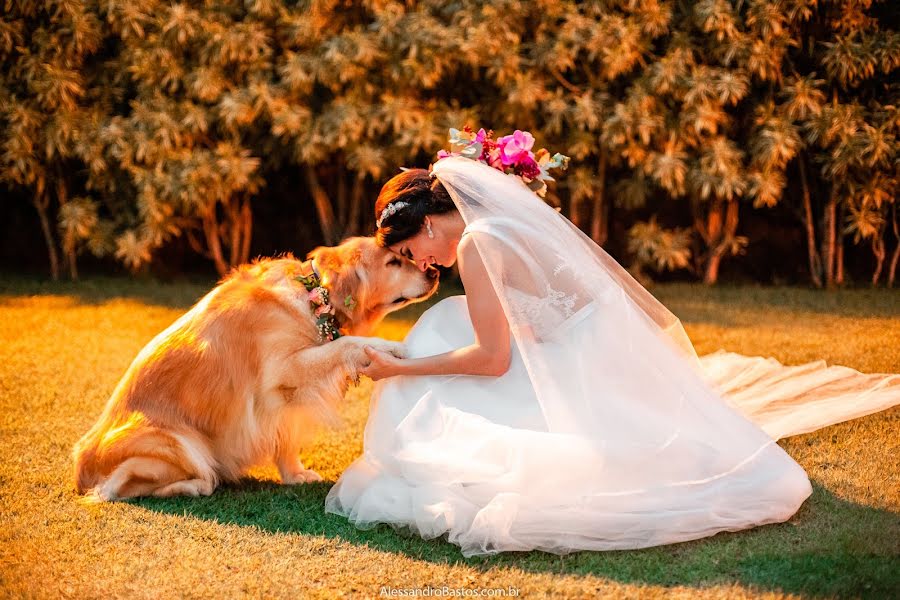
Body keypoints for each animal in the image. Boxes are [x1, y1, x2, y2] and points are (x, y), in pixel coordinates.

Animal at [72, 237, 438, 500]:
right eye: (393, 261)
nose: (434, 271)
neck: (311, 291)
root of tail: (80, 466)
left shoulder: (283, 396)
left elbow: (286, 437)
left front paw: (295, 475)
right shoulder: (286, 369)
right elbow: (346, 344)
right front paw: (388, 346)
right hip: (181, 444)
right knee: (119, 488)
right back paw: (195, 486)